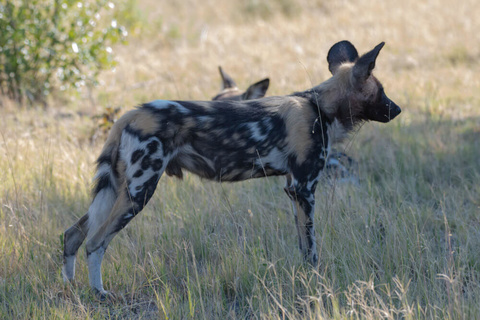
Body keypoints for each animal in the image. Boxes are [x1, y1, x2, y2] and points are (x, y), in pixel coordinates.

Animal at [62, 40, 402, 298]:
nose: (398, 109)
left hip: (117, 190)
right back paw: (99, 293)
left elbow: (302, 244)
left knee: (73, 234)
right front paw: (315, 282)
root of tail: (130, 114)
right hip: (138, 192)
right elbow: (311, 250)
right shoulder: (305, 189)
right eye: (382, 91)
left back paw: (71, 288)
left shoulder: (293, 190)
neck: (320, 105)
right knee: (95, 242)